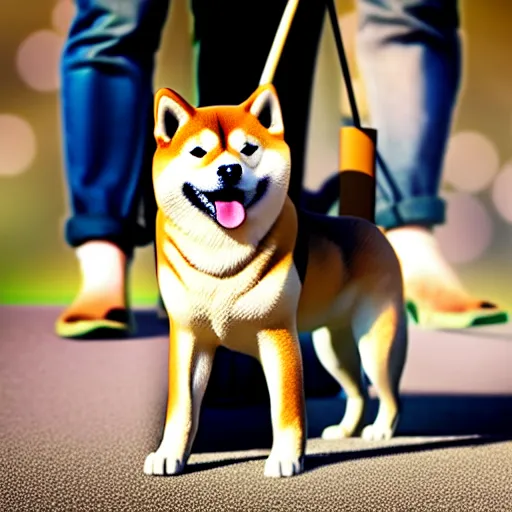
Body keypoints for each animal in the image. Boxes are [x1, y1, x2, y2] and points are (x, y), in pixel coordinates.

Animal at [144, 82, 408, 478]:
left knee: (388, 392)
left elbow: (286, 405)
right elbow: (182, 409)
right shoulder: (190, 339)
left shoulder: (278, 335)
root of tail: (366, 225)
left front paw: (286, 459)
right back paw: (346, 429)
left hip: (375, 344)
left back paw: (380, 430)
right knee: (358, 390)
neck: (221, 256)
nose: (230, 170)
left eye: (249, 149)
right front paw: (169, 454)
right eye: (198, 151)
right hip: (334, 349)